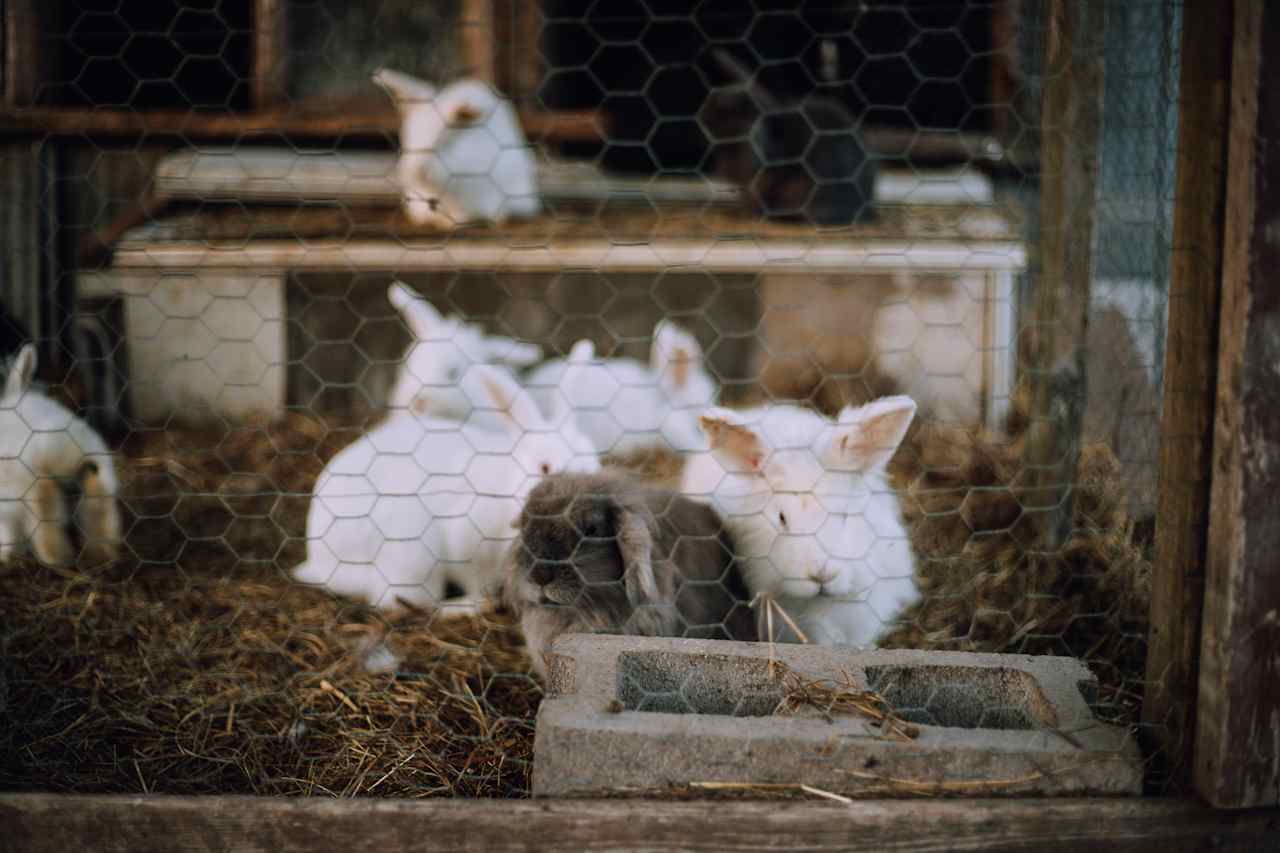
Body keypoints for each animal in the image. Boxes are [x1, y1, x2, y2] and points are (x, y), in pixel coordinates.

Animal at [0, 343, 120, 568]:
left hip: (30, 483)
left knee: (45, 508)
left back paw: (57, 558)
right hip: (95, 458)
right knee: (98, 498)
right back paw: (101, 554)